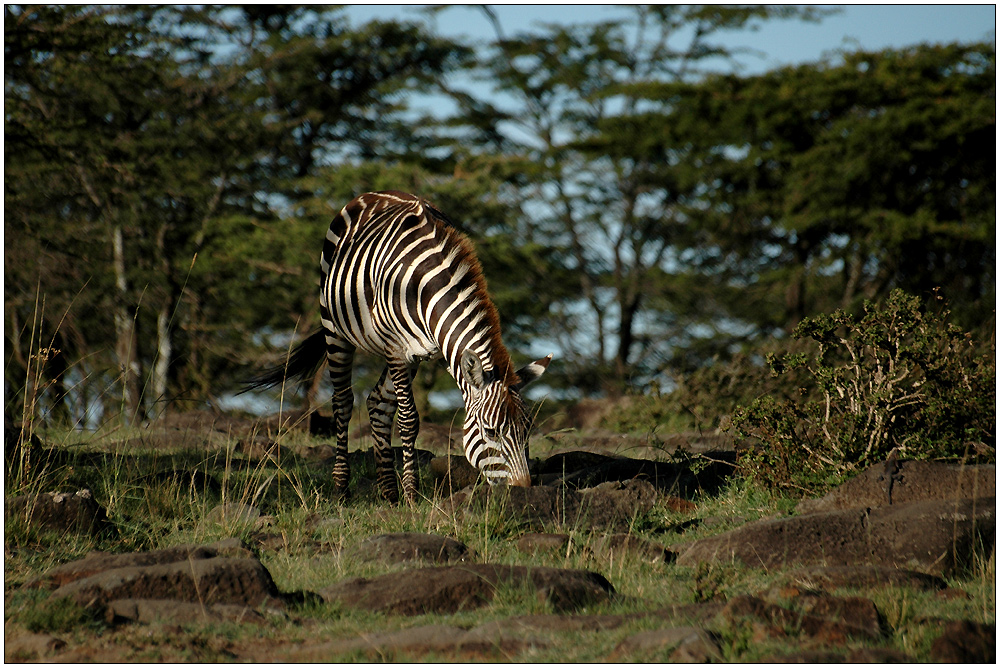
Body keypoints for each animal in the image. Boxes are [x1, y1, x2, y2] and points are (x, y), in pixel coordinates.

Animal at [245, 190, 552, 504]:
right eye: (490, 432)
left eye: (527, 430)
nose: (523, 491)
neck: (425, 290)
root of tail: (373, 193)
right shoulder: (395, 348)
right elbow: (408, 420)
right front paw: (412, 493)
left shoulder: (424, 351)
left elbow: (393, 407)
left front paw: (402, 491)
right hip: (335, 328)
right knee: (343, 402)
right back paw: (342, 487)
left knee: (377, 402)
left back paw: (389, 491)